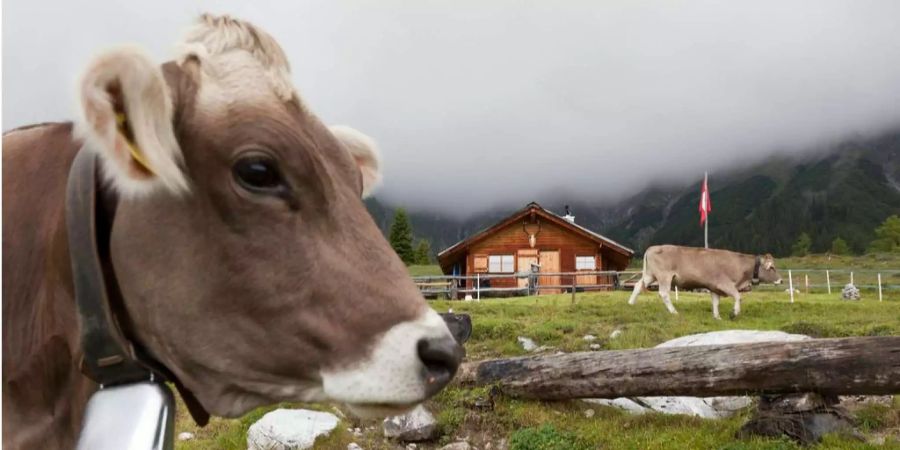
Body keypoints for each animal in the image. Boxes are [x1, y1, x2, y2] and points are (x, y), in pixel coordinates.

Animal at [624, 246, 780, 320]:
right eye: (772, 267)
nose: (781, 280)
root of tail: (653, 247)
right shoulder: (725, 283)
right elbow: (737, 296)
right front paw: (734, 313)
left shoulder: (715, 287)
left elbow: (715, 302)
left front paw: (717, 317)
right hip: (664, 276)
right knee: (663, 293)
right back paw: (674, 312)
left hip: (650, 275)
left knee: (638, 285)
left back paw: (631, 304)